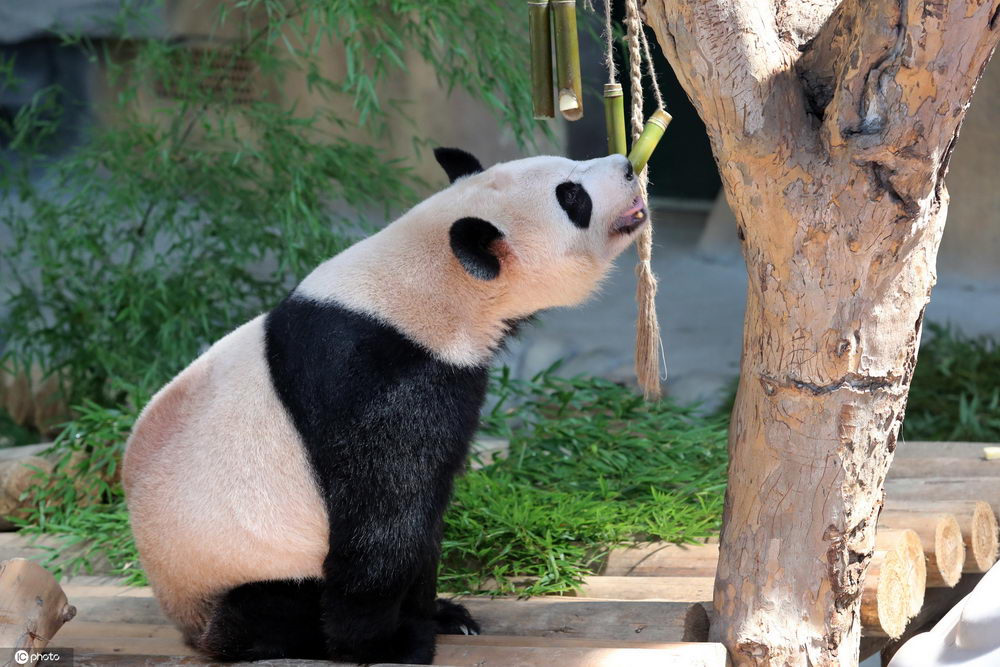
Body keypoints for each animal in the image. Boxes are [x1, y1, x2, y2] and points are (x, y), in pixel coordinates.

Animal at [123, 149, 648, 664]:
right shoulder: (378, 379)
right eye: (571, 197)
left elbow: (426, 519)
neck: (428, 285)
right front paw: (387, 645)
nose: (627, 166)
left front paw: (440, 613)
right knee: (264, 609)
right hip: (239, 566)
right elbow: (384, 520)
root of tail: (184, 622)